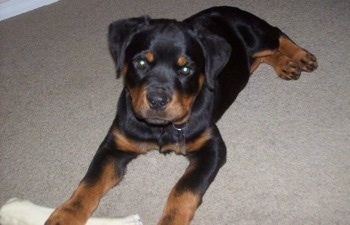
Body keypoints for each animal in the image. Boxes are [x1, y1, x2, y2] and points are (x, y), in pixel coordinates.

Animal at [45, 5, 316, 225]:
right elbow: (89, 182)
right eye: (141, 63)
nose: (157, 100)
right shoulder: (114, 145)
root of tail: (231, 7)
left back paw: (300, 56)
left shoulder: (212, 147)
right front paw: (64, 216)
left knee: (276, 35)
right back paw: (285, 65)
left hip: (256, 33)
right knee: (260, 57)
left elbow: (183, 189)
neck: (161, 129)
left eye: (186, 69)